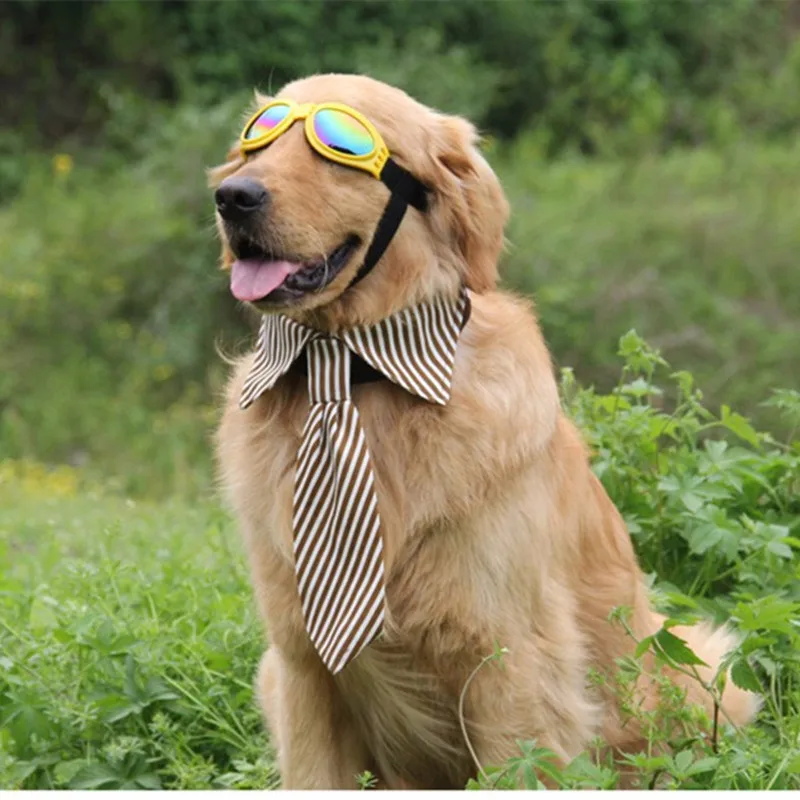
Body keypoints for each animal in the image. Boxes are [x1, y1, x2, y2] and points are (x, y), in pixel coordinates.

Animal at [209, 73, 760, 788]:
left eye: (341, 147)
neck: (350, 373)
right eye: (257, 142)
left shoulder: (510, 662)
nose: (233, 197)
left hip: (696, 669)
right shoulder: (300, 661)